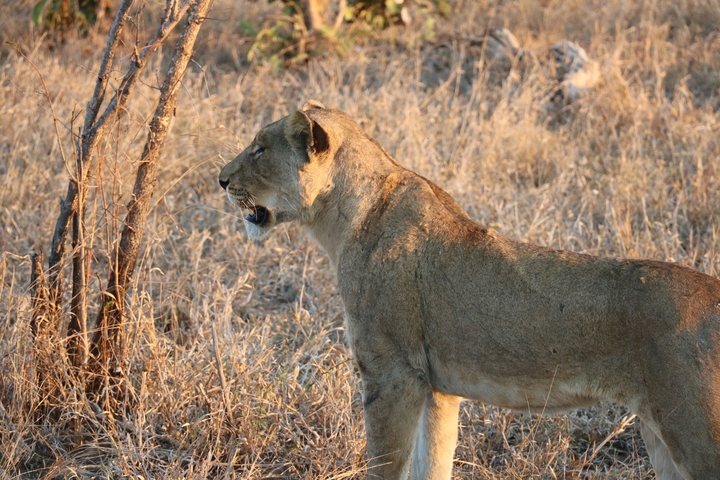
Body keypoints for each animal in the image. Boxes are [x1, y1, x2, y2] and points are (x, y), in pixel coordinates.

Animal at [218, 100, 720, 480]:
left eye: (260, 148)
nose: (220, 180)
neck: (342, 219)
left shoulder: (391, 375)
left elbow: (386, 466)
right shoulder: (437, 389)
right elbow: (432, 463)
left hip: (694, 431)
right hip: (660, 436)